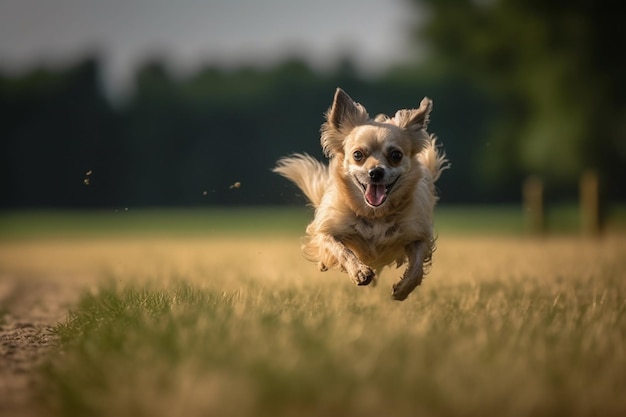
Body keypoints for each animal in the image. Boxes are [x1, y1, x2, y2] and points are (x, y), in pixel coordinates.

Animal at [272, 88, 444, 300]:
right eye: (357, 155)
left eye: (396, 155)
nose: (375, 172)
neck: (374, 214)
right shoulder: (327, 230)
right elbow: (340, 249)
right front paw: (359, 271)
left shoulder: (418, 235)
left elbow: (417, 266)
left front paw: (404, 289)